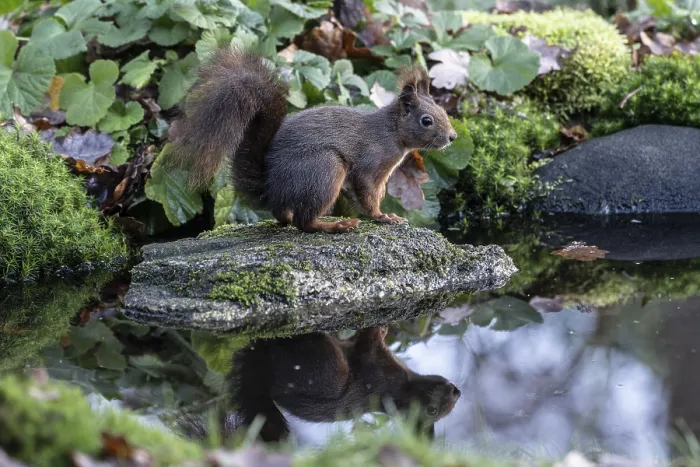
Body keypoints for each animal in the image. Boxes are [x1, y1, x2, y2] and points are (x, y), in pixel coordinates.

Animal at [167, 48, 457, 234]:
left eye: (443, 111)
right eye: (426, 120)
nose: (452, 137)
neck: (392, 132)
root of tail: (271, 188)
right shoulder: (370, 161)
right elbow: (366, 191)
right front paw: (383, 216)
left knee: (286, 219)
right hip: (324, 170)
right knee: (303, 223)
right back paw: (336, 225)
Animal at [177, 327, 460, 442]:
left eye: (432, 412)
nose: (457, 392)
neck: (404, 388)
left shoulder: (375, 372)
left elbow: (367, 347)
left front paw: (375, 329)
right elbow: (366, 344)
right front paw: (382, 328)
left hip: (323, 363)